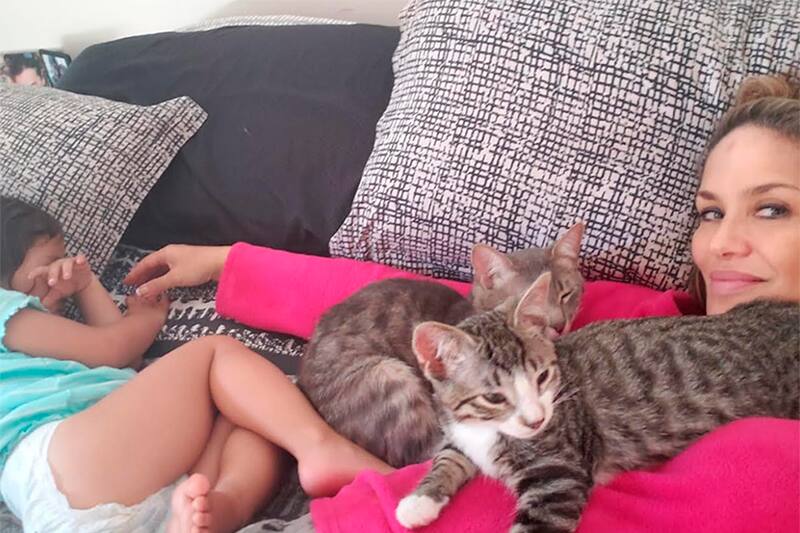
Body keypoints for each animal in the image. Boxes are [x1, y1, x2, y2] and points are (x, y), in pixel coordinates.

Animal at [397, 273, 799, 532]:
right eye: (494, 397)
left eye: (542, 378)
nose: (536, 420)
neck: (488, 430)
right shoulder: (462, 430)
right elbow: (449, 457)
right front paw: (420, 500)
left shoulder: (557, 474)